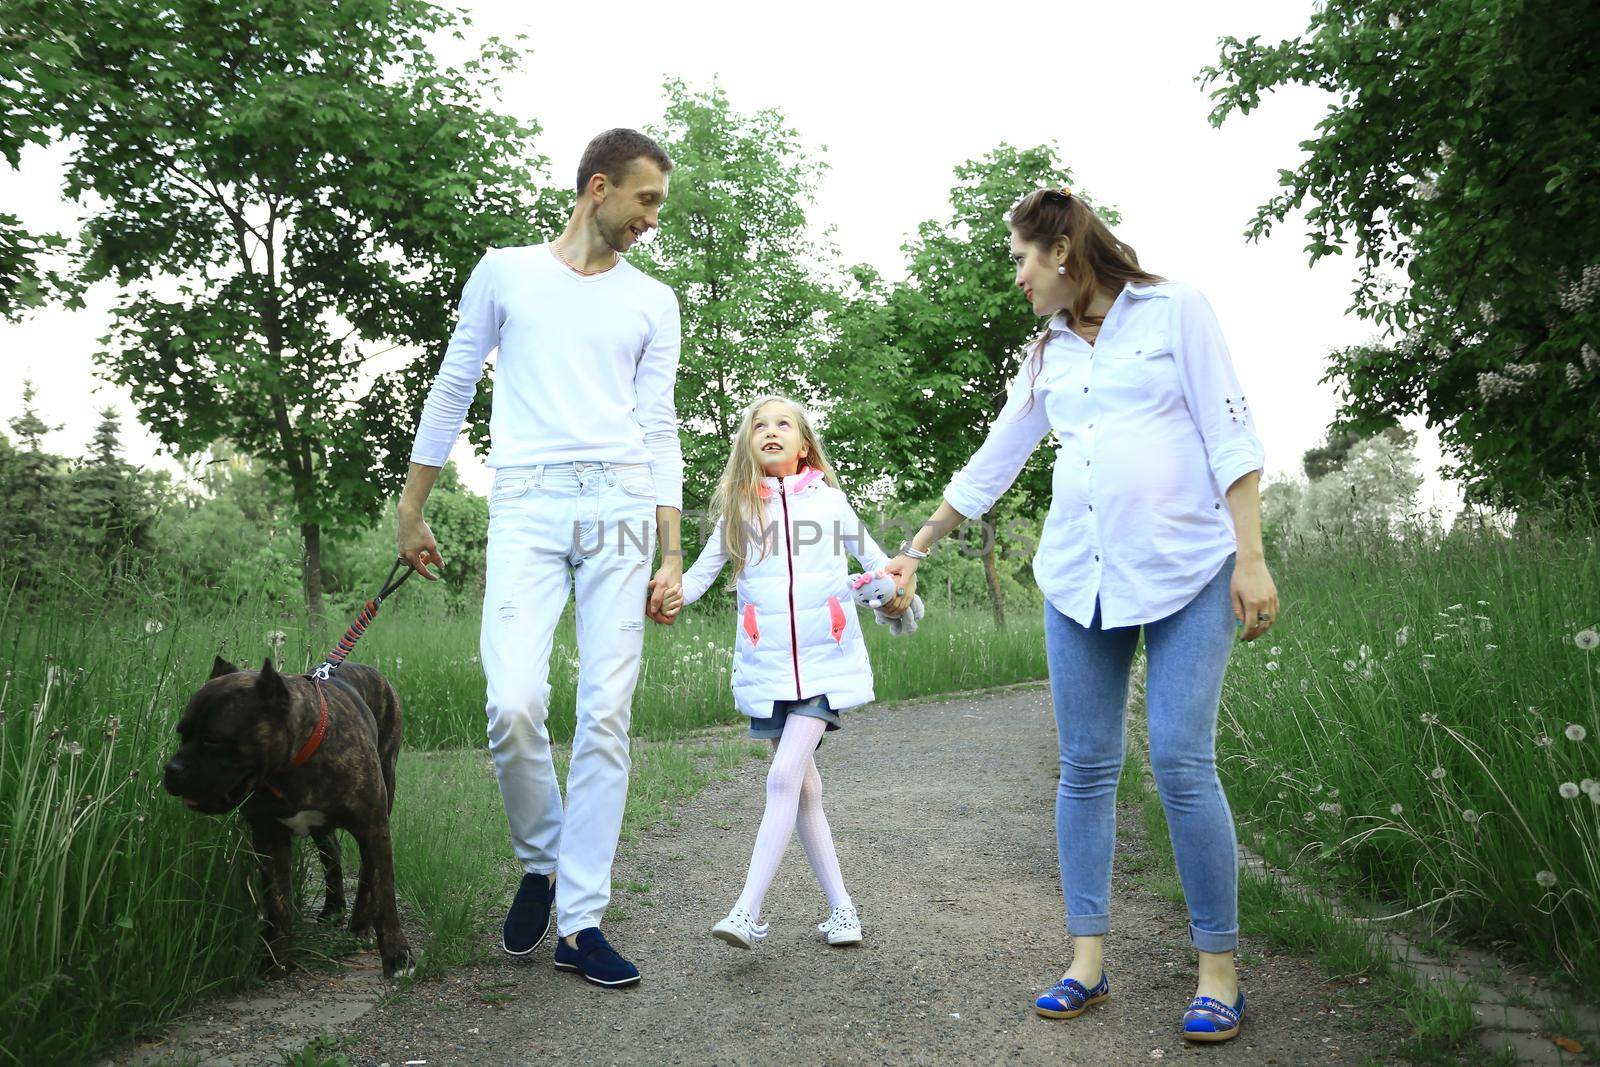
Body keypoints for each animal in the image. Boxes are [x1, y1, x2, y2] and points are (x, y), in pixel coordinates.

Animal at [160, 655, 412, 979]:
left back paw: (359, 924)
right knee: (331, 853)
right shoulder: (268, 838)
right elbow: (277, 904)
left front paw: (398, 957)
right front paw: (275, 960)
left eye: (213, 740)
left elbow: (384, 894)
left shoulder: (372, 827)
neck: (290, 767)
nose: (172, 769)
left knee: (367, 874)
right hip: (324, 828)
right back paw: (333, 908)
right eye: (182, 733)